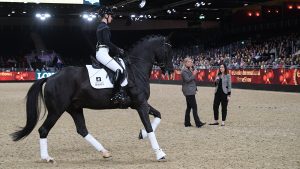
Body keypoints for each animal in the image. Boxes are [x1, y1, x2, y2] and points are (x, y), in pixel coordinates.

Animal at [10, 35, 173, 162]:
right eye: (168, 51)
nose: (170, 70)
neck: (136, 69)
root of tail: (50, 78)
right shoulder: (140, 104)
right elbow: (150, 126)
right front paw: (159, 154)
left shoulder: (139, 103)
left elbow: (158, 115)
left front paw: (142, 134)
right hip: (56, 110)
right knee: (43, 130)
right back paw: (47, 158)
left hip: (74, 108)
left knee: (82, 129)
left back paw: (105, 152)